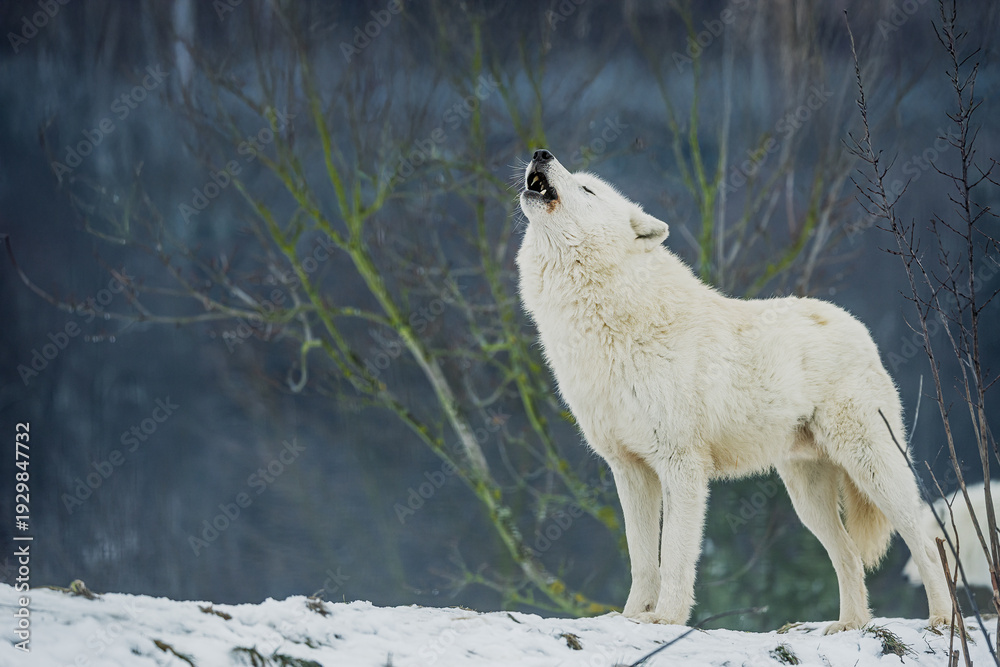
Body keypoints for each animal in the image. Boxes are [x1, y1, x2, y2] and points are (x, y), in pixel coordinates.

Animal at [514, 149, 951, 633]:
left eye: (588, 188)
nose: (541, 153)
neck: (610, 319)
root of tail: (856, 325)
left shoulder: (682, 464)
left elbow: (675, 555)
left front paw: (665, 619)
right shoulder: (629, 470)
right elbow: (643, 559)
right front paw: (629, 617)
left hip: (873, 468)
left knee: (926, 542)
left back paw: (941, 620)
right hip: (807, 496)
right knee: (850, 555)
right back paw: (848, 626)